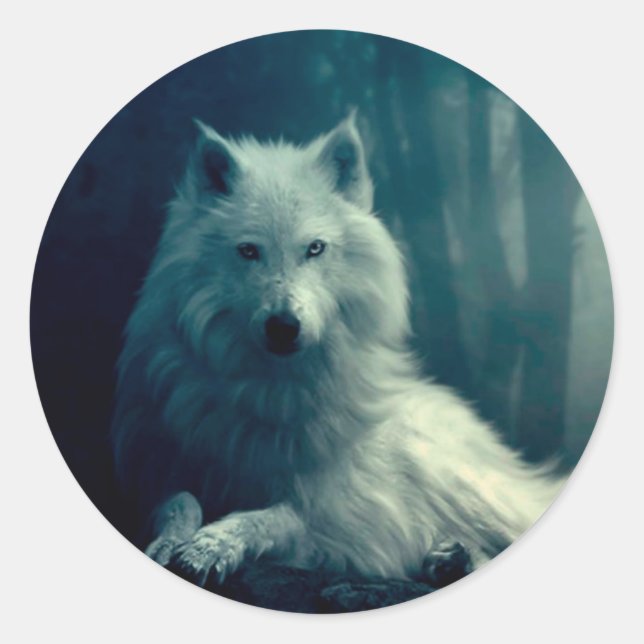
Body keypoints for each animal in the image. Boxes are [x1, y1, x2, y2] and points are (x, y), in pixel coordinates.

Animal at [111, 113, 564, 590]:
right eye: (249, 251)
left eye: (315, 248)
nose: (283, 327)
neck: (271, 390)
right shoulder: (154, 475)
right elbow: (180, 501)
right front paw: (169, 543)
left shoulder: (331, 514)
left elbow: (272, 517)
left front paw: (211, 545)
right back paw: (447, 558)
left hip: (457, 481)